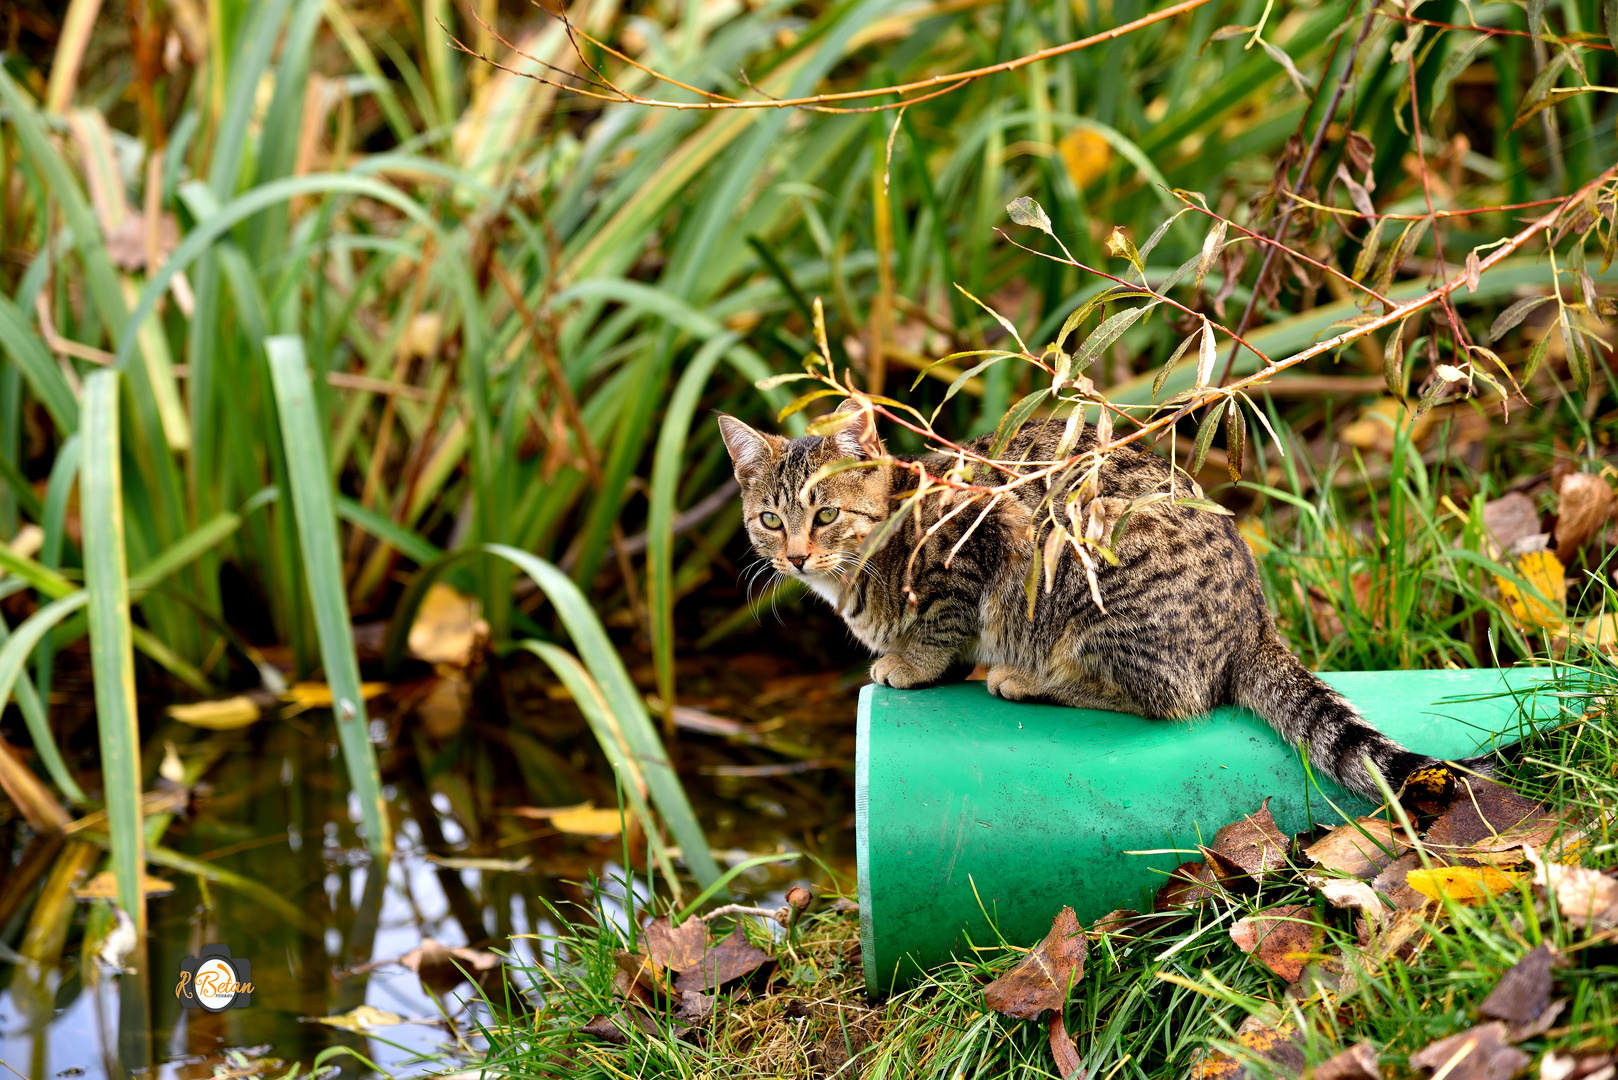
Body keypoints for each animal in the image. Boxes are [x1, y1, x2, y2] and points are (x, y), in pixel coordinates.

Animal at [715, 401, 1495, 799]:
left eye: (825, 516)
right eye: (770, 520)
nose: (794, 556)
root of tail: (1253, 619)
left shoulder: (975, 550)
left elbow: (942, 621)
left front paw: (911, 663)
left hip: (1089, 586)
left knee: (1172, 698)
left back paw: (1027, 678)